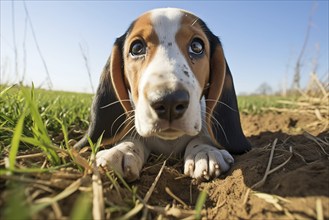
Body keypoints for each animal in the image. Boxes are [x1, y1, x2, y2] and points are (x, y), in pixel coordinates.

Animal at [73, 7, 249, 182]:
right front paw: (120, 151)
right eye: (136, 48)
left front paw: (205, 151)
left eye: (197, 46)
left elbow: (202, 136)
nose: (169, 101)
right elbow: (132, 138)